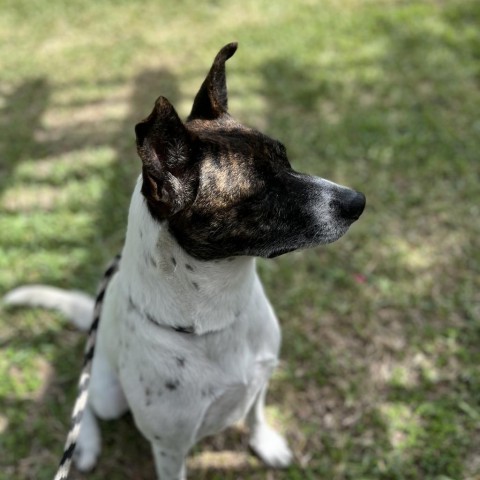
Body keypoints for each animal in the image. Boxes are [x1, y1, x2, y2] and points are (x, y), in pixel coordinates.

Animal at [3, 43, 366, 478]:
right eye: (261, 192)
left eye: (287, 161)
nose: (358, 202)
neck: (214, 318)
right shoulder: (170, 449)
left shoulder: (261, 378)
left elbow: (257, 413)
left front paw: (265, 443)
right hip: (109, 395)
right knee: (86, 403)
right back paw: (87, 443)